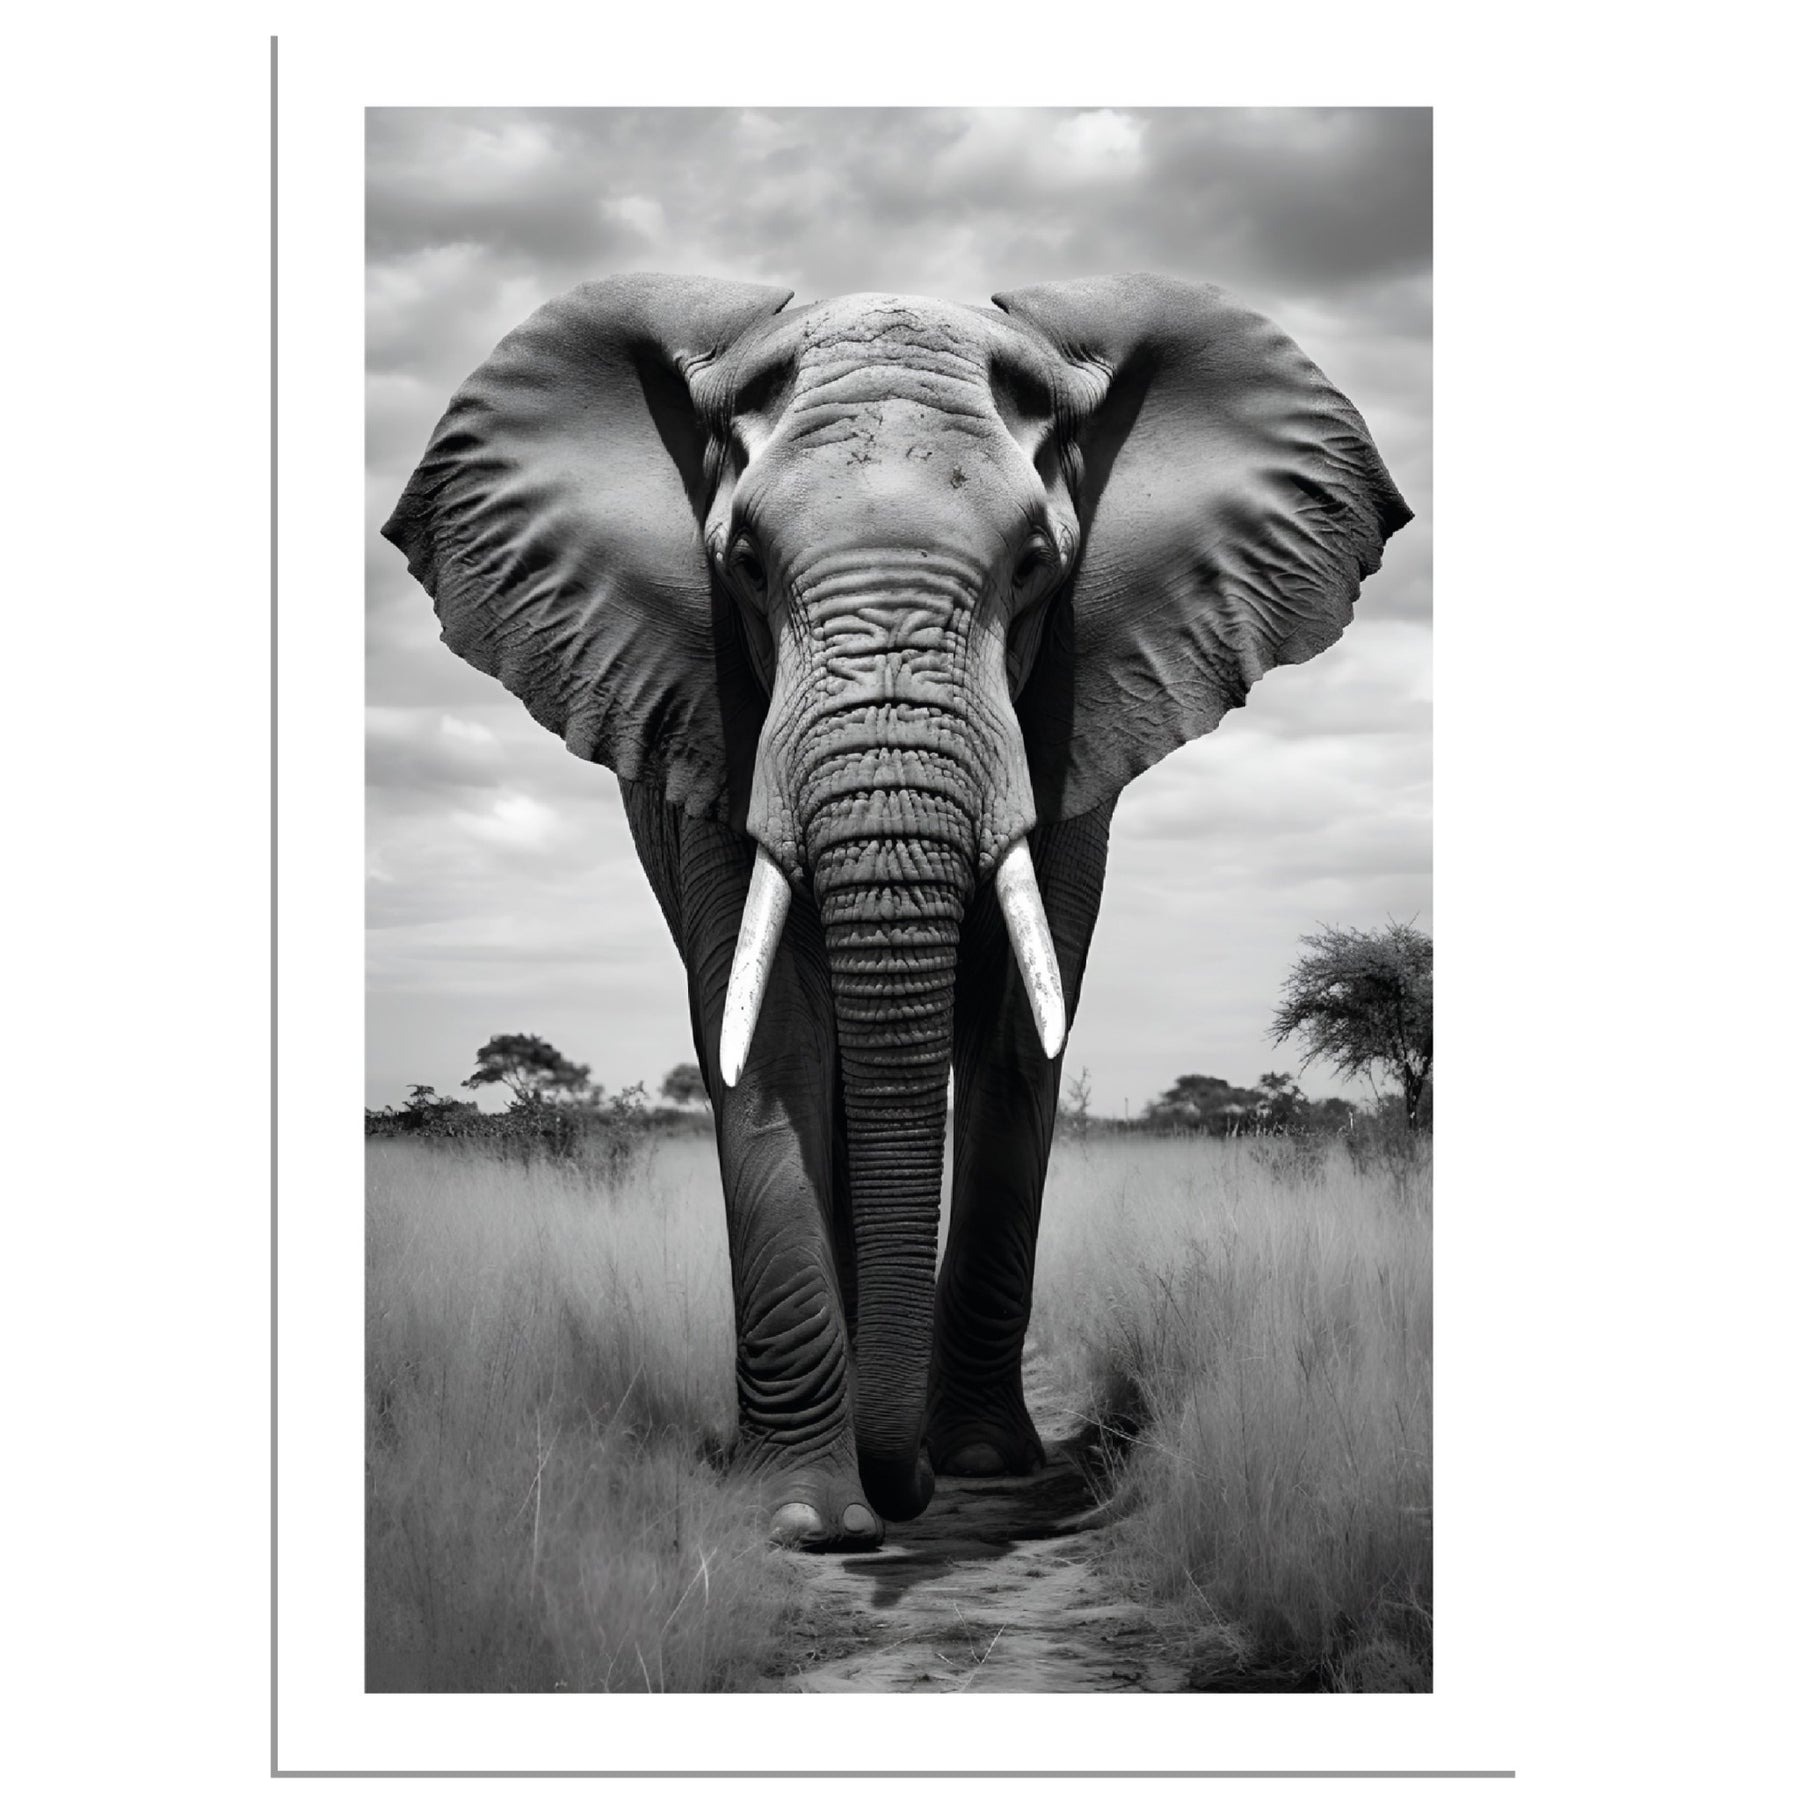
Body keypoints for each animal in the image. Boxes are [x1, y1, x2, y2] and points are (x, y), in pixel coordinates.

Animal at [387, 270, 1411, 1548]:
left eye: (1034, 565)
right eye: (745, 565)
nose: (904, 1487)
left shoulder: (1072, 703)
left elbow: (1020, 1027)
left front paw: (982, 1466)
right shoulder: (711, 706)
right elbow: (768, 1031)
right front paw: (805, 1516)